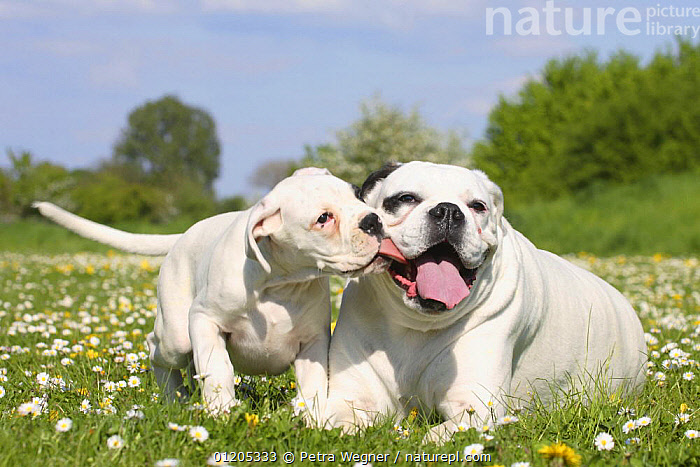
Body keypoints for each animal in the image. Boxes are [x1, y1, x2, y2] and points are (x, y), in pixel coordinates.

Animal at [35, 169, 396, 420]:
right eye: (324, 218)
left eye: (357, 195)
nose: (373, 220)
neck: (281, 282)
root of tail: (183, 234)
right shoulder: (205, 320)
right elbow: (218, 367)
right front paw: (222, 410)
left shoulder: (313, 342)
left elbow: (314, 382)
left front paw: (313, 418)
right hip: (176, 336)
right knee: (157, 349)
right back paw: (175, 398)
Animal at [326, 162, 648, 442]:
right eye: (406, 198)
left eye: (477, 206)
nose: (448, 211)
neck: (416, 325)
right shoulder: (351, 396)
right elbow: (337, 421)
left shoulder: (475, 406)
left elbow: (433, 437)